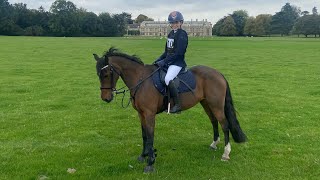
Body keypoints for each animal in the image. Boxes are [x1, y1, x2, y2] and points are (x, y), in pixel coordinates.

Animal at [92, 47, 248, 173]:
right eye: (98, 74)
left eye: (106, 74)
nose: (105, 98)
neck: (141, 80)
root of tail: (218, 73)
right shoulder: (141, 114)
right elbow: (144, 135)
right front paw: (143, 156)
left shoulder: (149, 114)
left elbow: (150, 136)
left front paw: (150, 163)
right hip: (206, 103)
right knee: (214, 121)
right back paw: (214, 144)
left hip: (216, 105)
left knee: (225, 125)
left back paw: (226, 153)